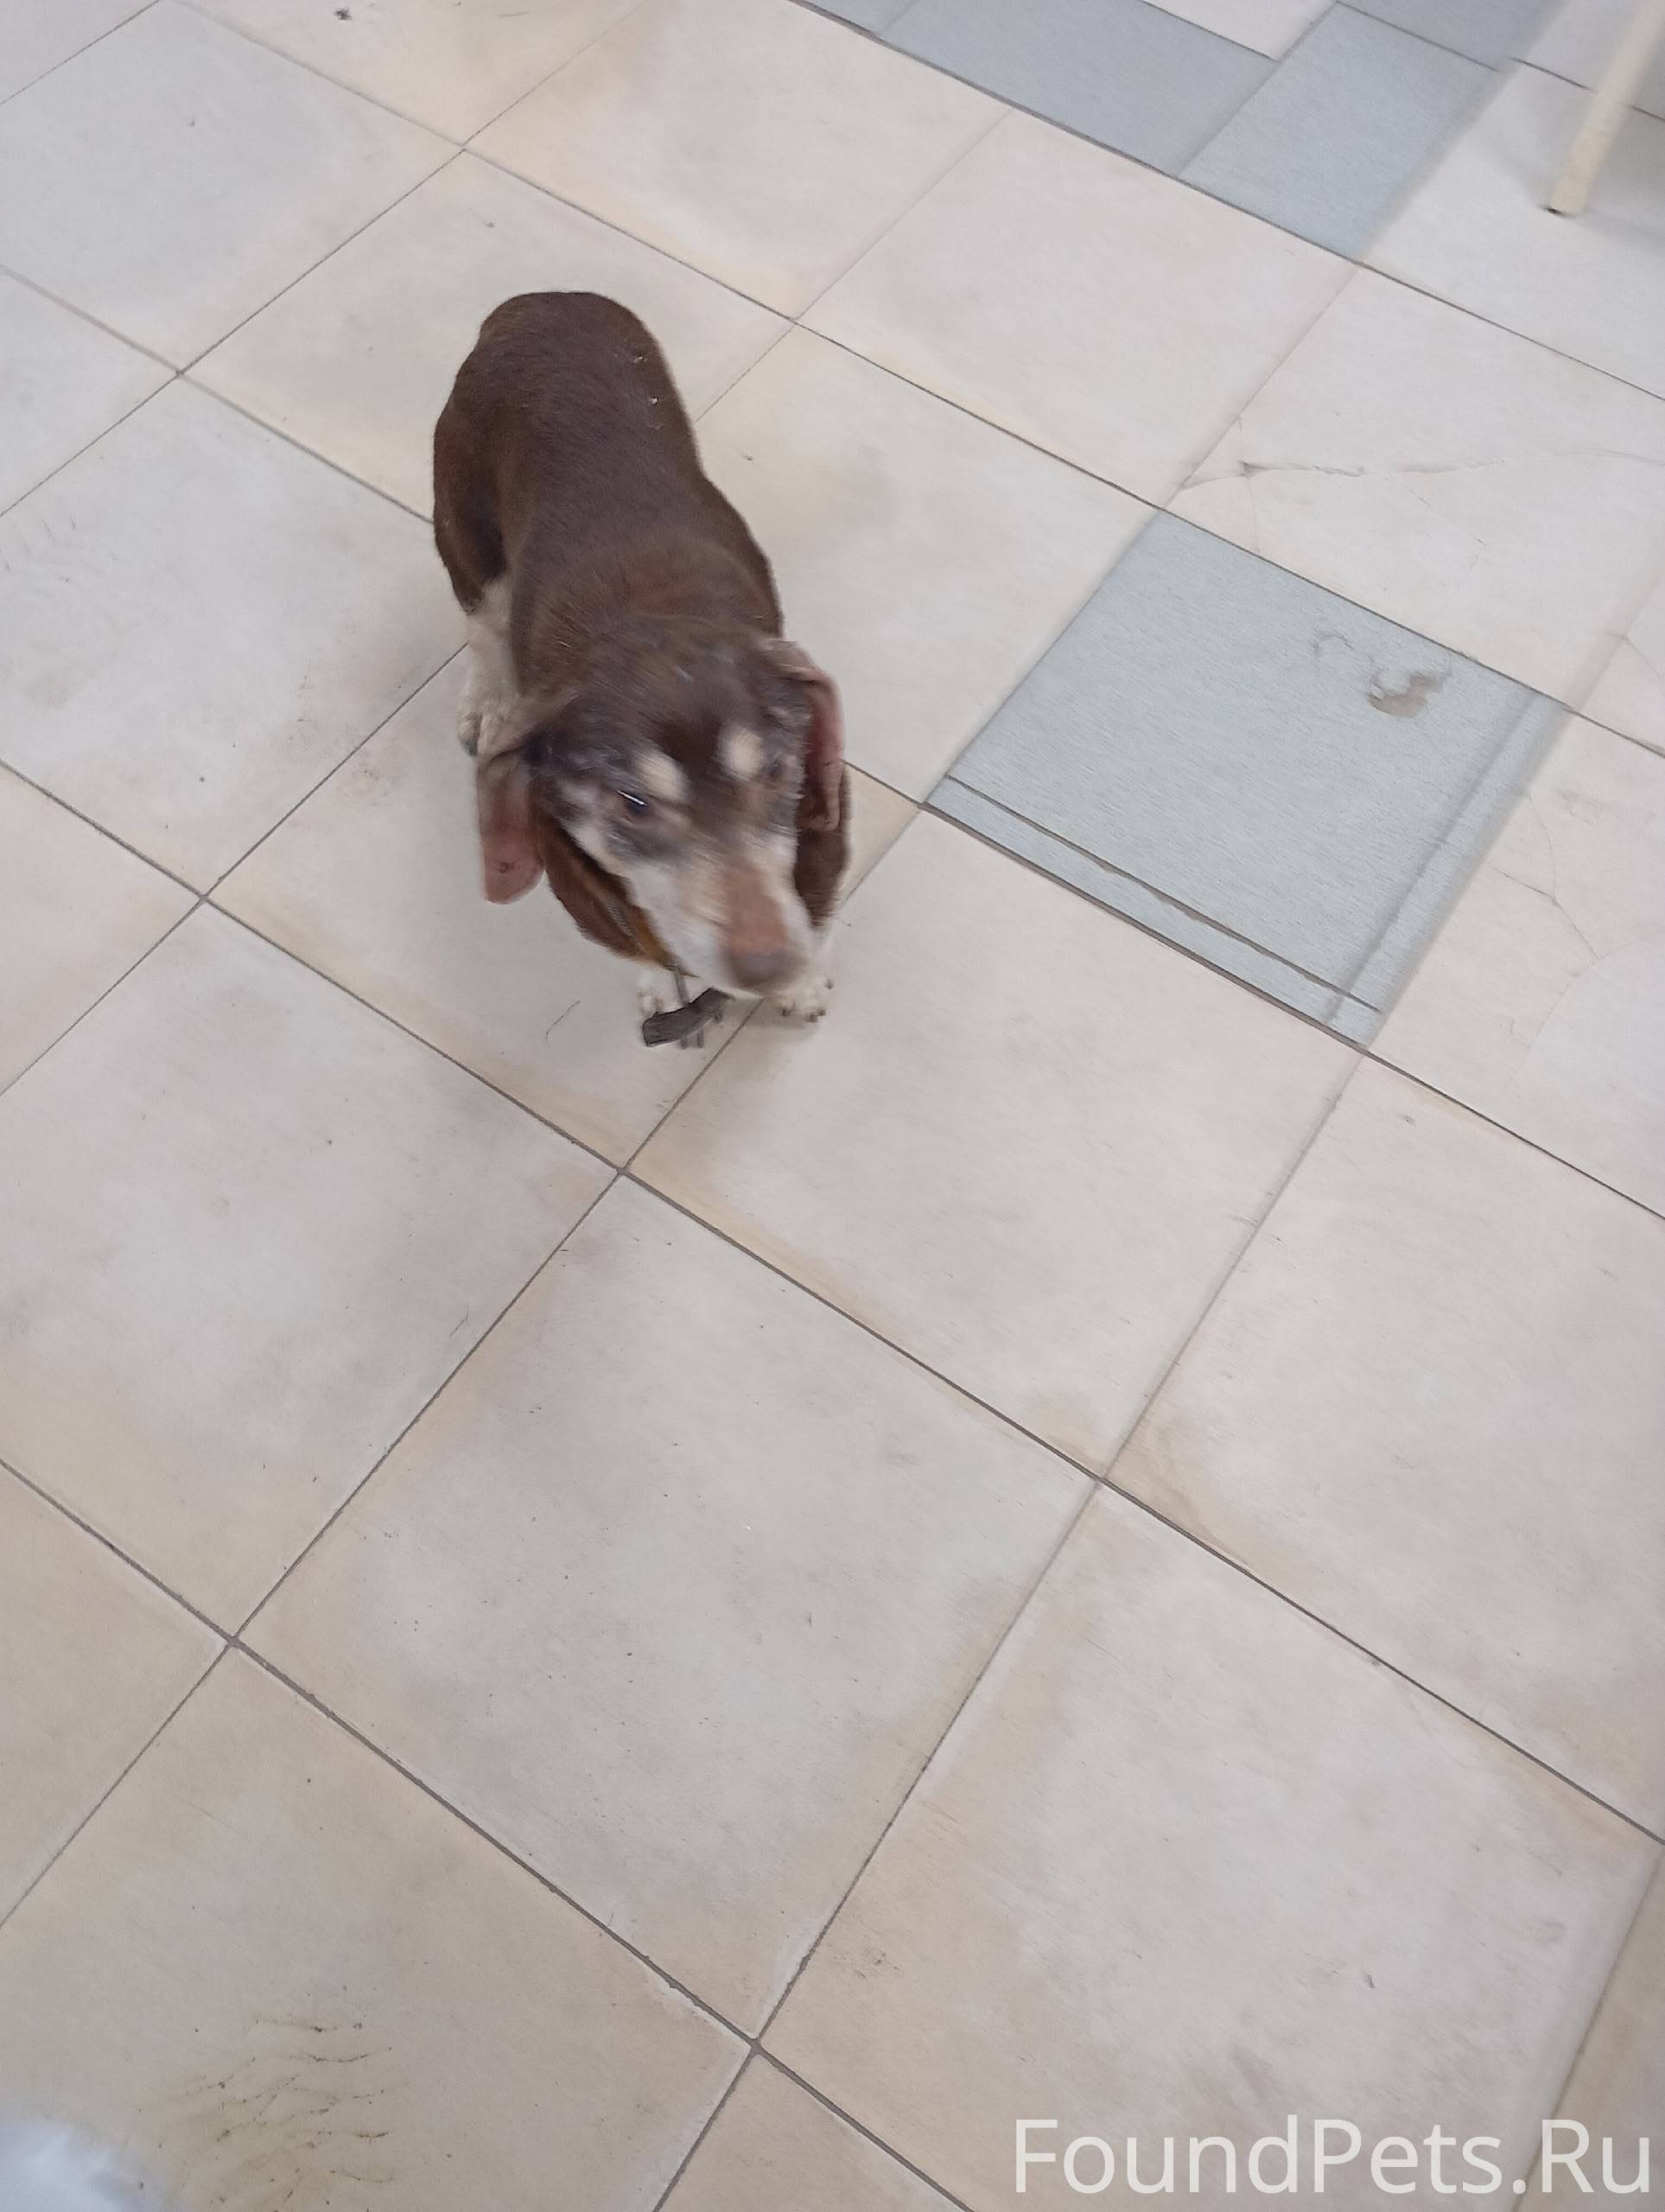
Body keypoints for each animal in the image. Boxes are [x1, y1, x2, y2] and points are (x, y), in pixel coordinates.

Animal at [433, 292, 848, 1042]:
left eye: (777, 773)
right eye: (633, 804)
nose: (770, 964)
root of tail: (537, 300)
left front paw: (802, 983)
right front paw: (664, 982)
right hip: (462, 527)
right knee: (483, 623)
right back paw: (488, 702)